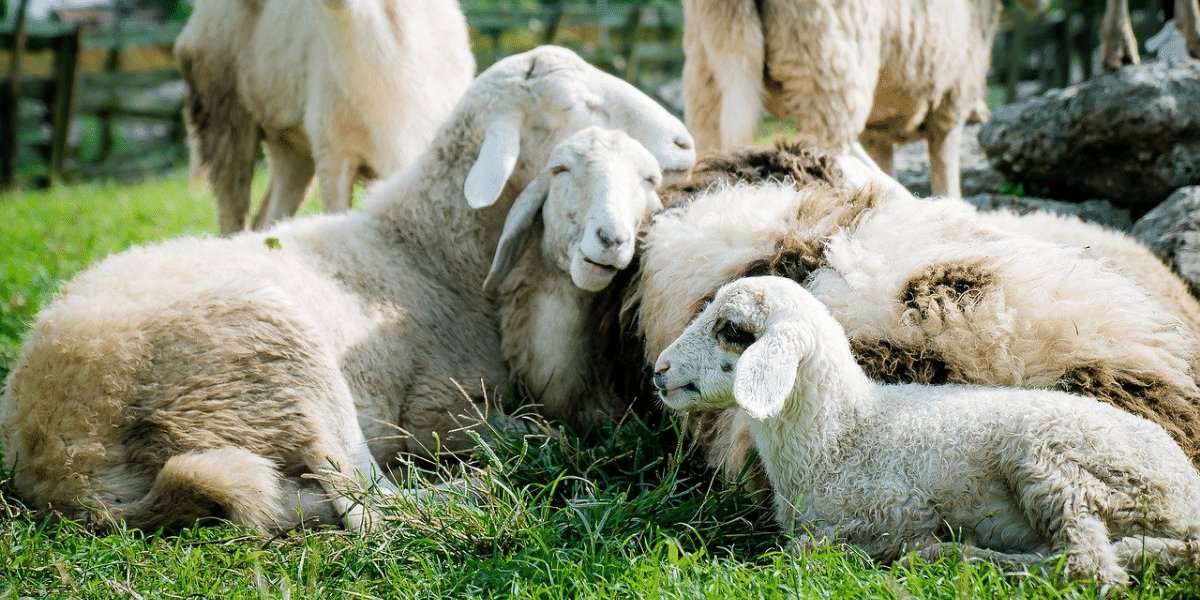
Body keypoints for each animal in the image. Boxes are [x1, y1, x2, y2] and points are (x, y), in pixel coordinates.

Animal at [0, 46, 696, 533]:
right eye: (580, 106)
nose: (686, 141)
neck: (424, 245)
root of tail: (62, 461)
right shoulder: (437, 407)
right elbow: (537, 432)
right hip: (277, 357)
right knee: (369, 506)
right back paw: (486, 494)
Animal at [653, 275, 1200, 585]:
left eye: (731, 329)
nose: (659, 371)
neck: (842, 434)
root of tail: (1186, 491)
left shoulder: (894, 508)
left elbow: (815, 547)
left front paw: (910, 549)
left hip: (1057, 461)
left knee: (1088, 565)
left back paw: (955, 556)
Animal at [680, 0, 1047, 198]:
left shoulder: (877, 130)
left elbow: (887, 171)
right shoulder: (952, 97)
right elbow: (946, 175)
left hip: (708, 69)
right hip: (829, 70)